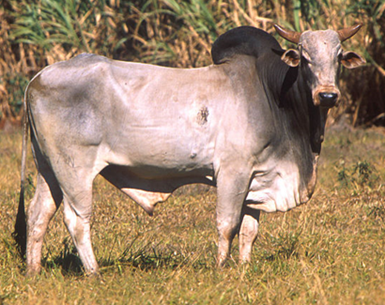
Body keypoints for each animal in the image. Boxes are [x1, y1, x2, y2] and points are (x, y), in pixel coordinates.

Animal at [13, 24, 364, 276]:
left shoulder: (258, 176)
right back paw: (94, 272)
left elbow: (249, 231)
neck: (272, 94)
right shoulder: (233, 171)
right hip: (75, 168)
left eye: (338, 57)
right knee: (77, 219)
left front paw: (243, 268)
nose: (328, 95)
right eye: (304, 58)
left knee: (39, 214)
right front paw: (221, 269)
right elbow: (227, 224)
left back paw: (33, 271)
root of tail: (38, 77)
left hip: (48, 168)